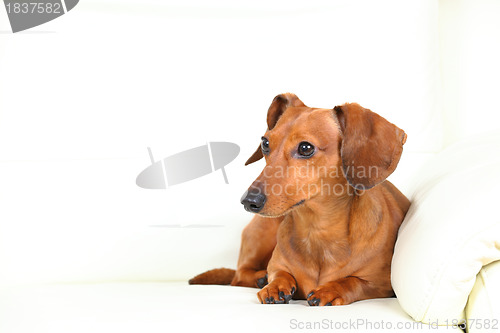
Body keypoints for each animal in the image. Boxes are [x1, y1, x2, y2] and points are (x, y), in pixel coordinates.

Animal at [188, 92, 410, 304]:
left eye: (305, 148)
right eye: (265, 143)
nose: (248, 201)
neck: (316, 230)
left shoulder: (383, 286)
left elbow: (353, 281)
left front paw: (332, 289)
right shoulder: (277, 265)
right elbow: (279, 273)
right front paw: (274, 285)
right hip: (263, 230)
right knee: (239, 276)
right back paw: (260, 278)